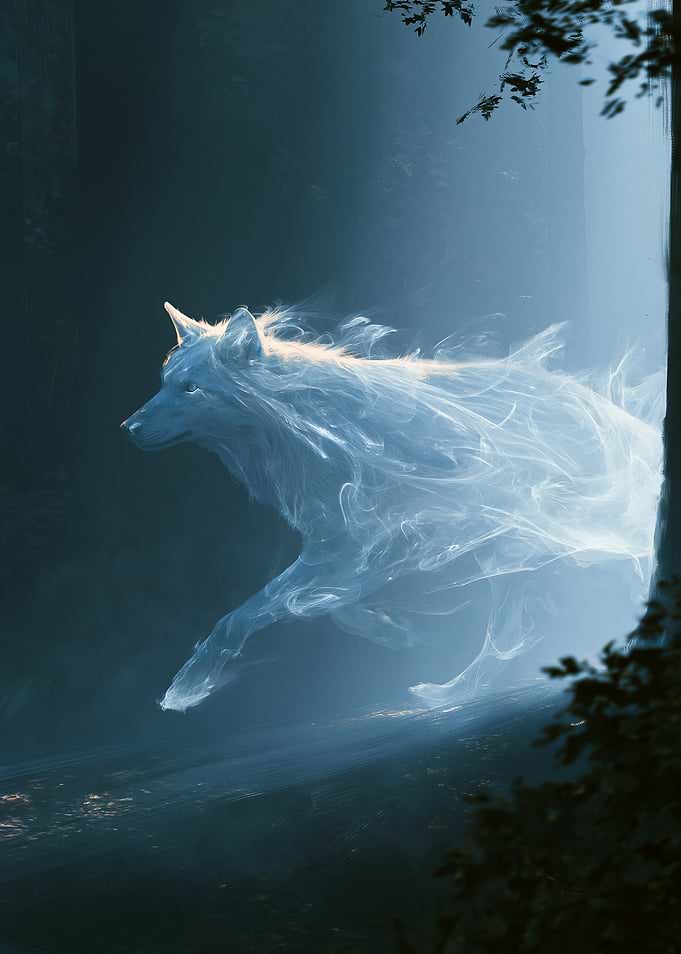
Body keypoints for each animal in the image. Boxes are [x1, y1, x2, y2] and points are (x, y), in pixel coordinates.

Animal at [121, 301, 662, 712]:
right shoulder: (345, 548)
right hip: (511, 551)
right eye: (164, 380)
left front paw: (189, 685)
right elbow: (334, 609)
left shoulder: (363, 545)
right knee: (511, 632)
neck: (305, 427)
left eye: (191, 388)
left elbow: (239, 616)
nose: (127, 428)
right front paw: (394, 634)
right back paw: (452, 694)